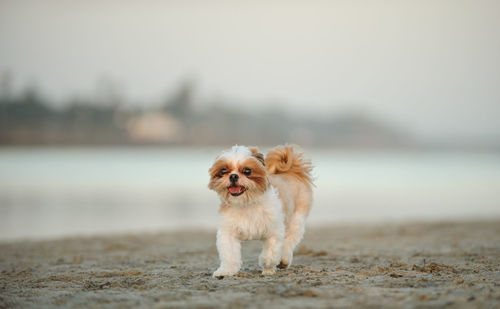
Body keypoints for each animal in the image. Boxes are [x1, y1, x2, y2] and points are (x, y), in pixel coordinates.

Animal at [209, 144, 314, 276]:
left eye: (247, 171)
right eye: (223, 170)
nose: (233, 176)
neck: (247, 203)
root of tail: (290, 172)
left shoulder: (274, 231)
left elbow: (270, 253)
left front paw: (268, 266)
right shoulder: (228, 233)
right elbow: (229, 255)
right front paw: (225, 271)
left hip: (296, 220)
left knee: (289, 240)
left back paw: (283, 260)